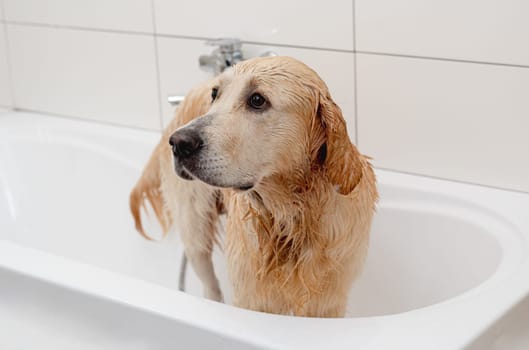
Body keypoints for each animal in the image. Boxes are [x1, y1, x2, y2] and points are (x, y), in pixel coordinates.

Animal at [132, 56, 380, 318]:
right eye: (215, 94)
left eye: (257, 100)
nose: (179, 143)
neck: (292, 215)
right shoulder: (252, 298)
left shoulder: (328, 302)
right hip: (194, 230)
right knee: (209, 283)